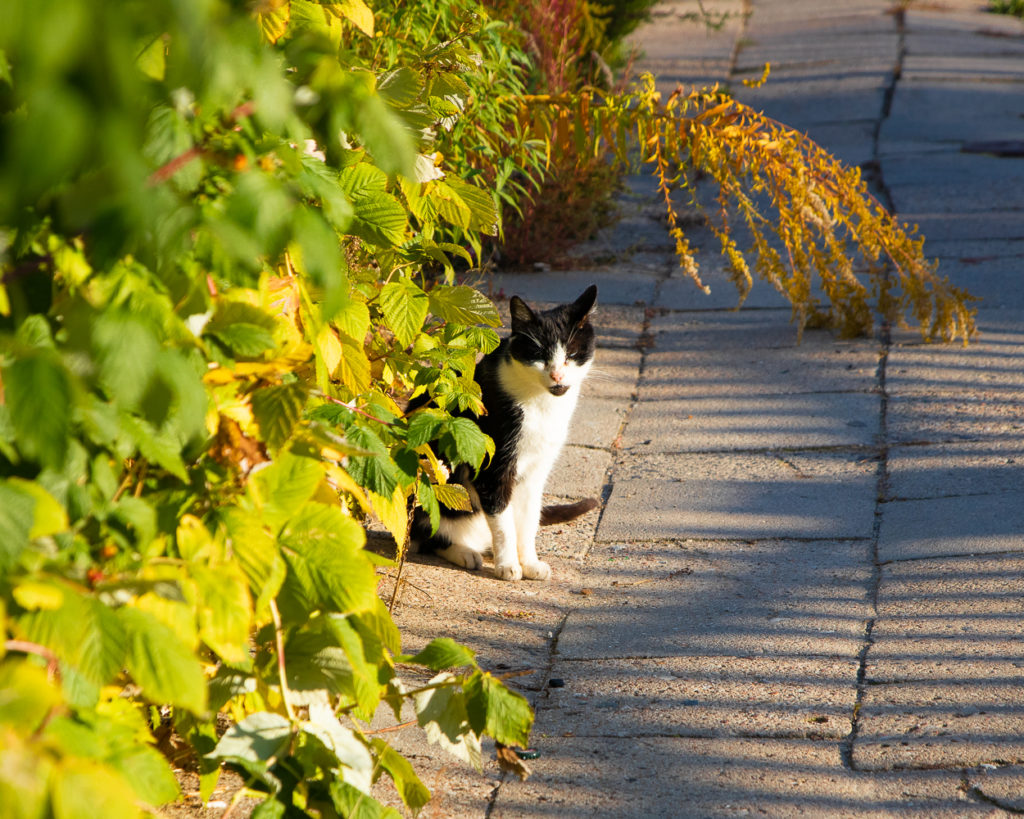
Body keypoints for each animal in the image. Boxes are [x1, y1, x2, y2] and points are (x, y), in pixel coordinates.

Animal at [409, 284, 598, 577]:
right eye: (539, 355)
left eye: (572, 355)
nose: (557, 376)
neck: (540, 404)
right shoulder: (492, 465)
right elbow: (503, 521)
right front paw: (509, 565)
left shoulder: (536, 471)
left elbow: (529, 520)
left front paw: (530, 563)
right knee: (427, 537)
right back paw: (465, 553)